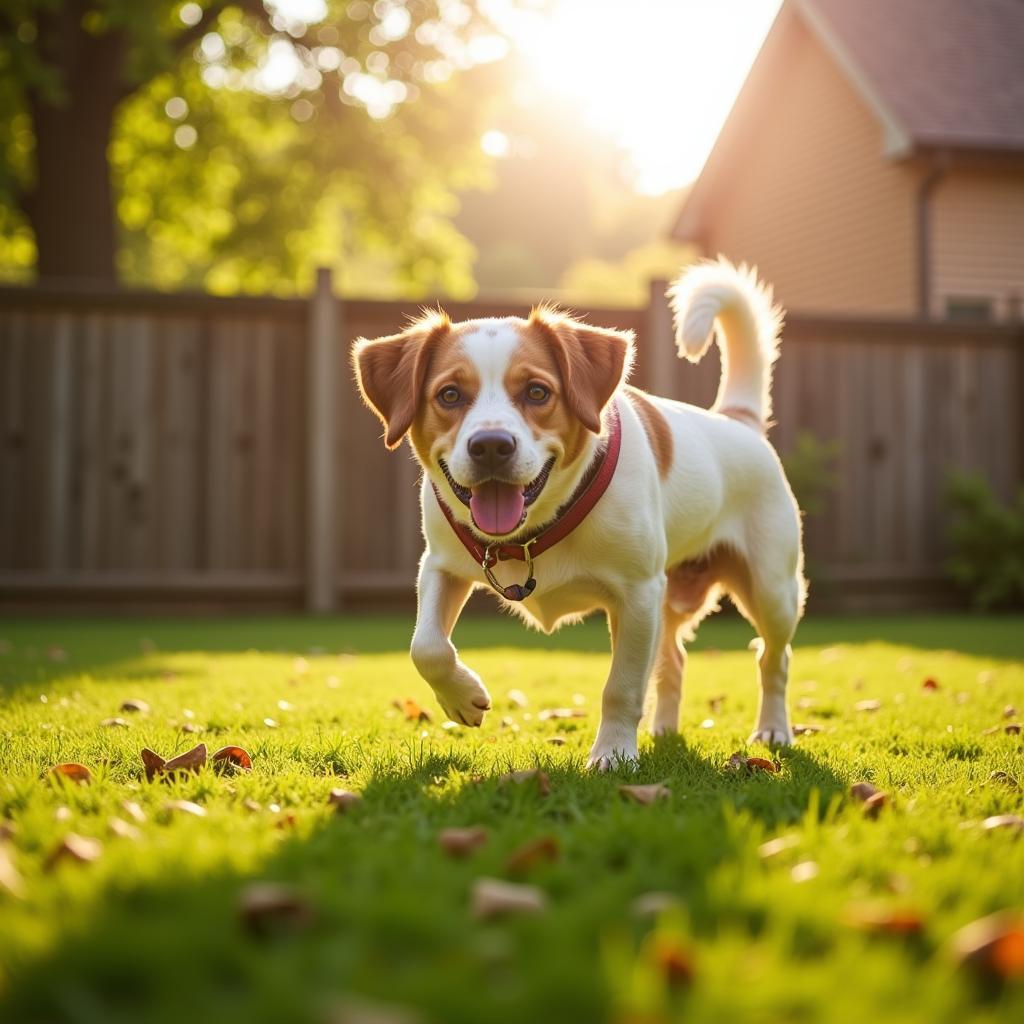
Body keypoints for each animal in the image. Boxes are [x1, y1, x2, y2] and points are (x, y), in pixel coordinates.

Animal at [356, 258, 802, 770]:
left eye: (536, 391)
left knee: (772, 658)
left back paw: (773, 729)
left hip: (771, 590)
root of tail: (736, 419)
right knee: (673, 661)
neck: (534, 531)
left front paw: (614, 753)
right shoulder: (440, 567)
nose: (491, 445)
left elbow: (621, 686)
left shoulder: (637, 596)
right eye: (449, 395)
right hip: (671, 600)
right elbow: (426, 647)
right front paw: (461, 696)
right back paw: (665, 729)